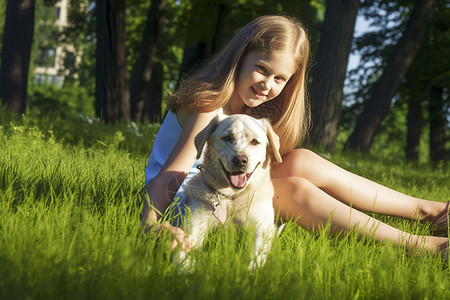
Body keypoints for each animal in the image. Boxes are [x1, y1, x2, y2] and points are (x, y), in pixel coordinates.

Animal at [175, 113, 284, 270]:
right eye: (227, 138)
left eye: (255, 141)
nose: (240, 160)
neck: (231, 197)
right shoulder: (194, 223)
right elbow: (182, 248)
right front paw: (185, 267)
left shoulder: (261, 227)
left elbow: (257, 254)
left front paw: (252, 270)